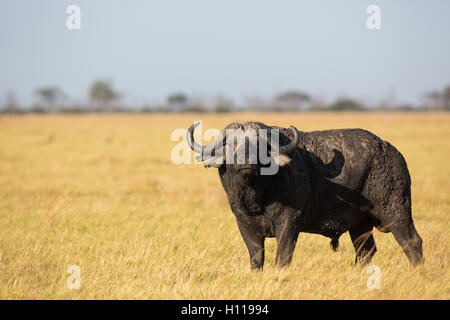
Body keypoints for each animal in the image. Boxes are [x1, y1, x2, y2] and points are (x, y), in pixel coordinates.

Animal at [185, 121, 422, 268]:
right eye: (232, 144)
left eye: (260, 144)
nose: (247, 162)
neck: (257, 196)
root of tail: (392, 152)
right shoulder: (244, 225)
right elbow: (256, 259)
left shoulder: (289, 223)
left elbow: (282, 257)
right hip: (360, 224)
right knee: (366, 251)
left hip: (396, 210)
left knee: (412, 242)